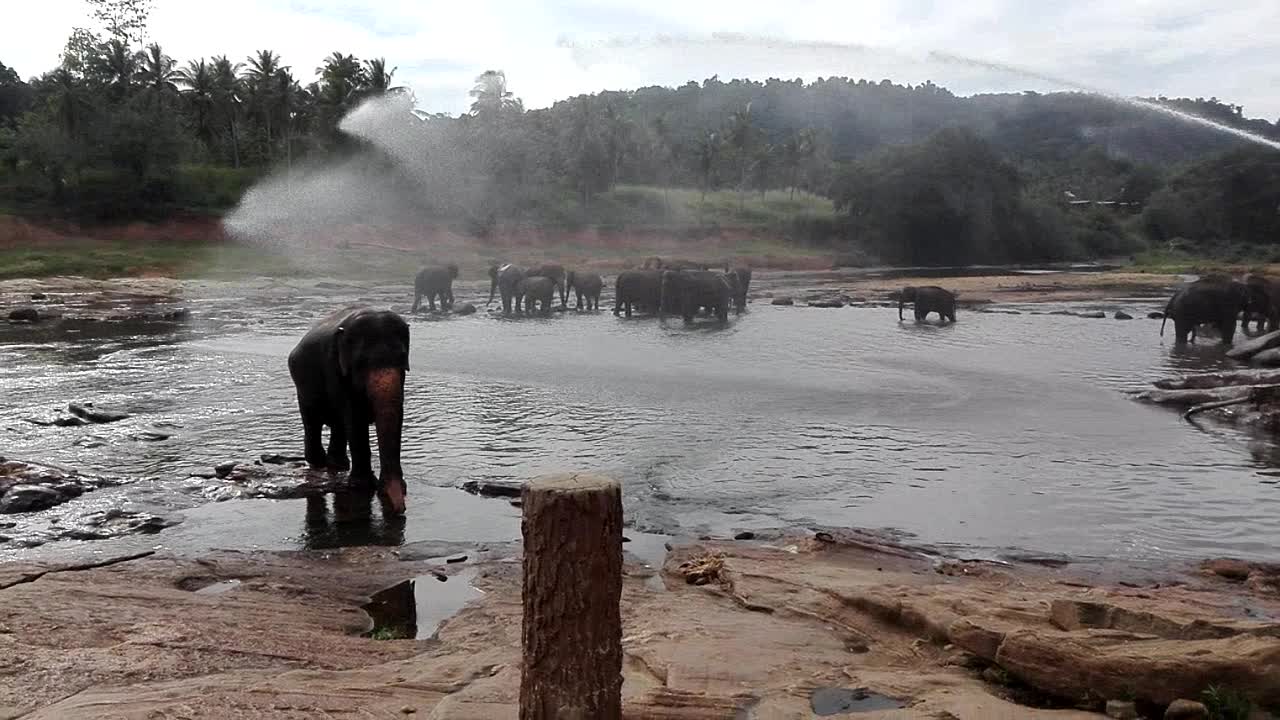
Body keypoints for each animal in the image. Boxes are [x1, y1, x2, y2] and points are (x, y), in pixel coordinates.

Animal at [290, 304, 409, 512]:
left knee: (338, 425)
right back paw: (319, 463)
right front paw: (362, 486)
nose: (401, 509)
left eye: (402, 359)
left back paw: (338, 466)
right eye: (360, 363)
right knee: (312, 421)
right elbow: (355, 416)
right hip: (302, 385)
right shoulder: (335, 368)